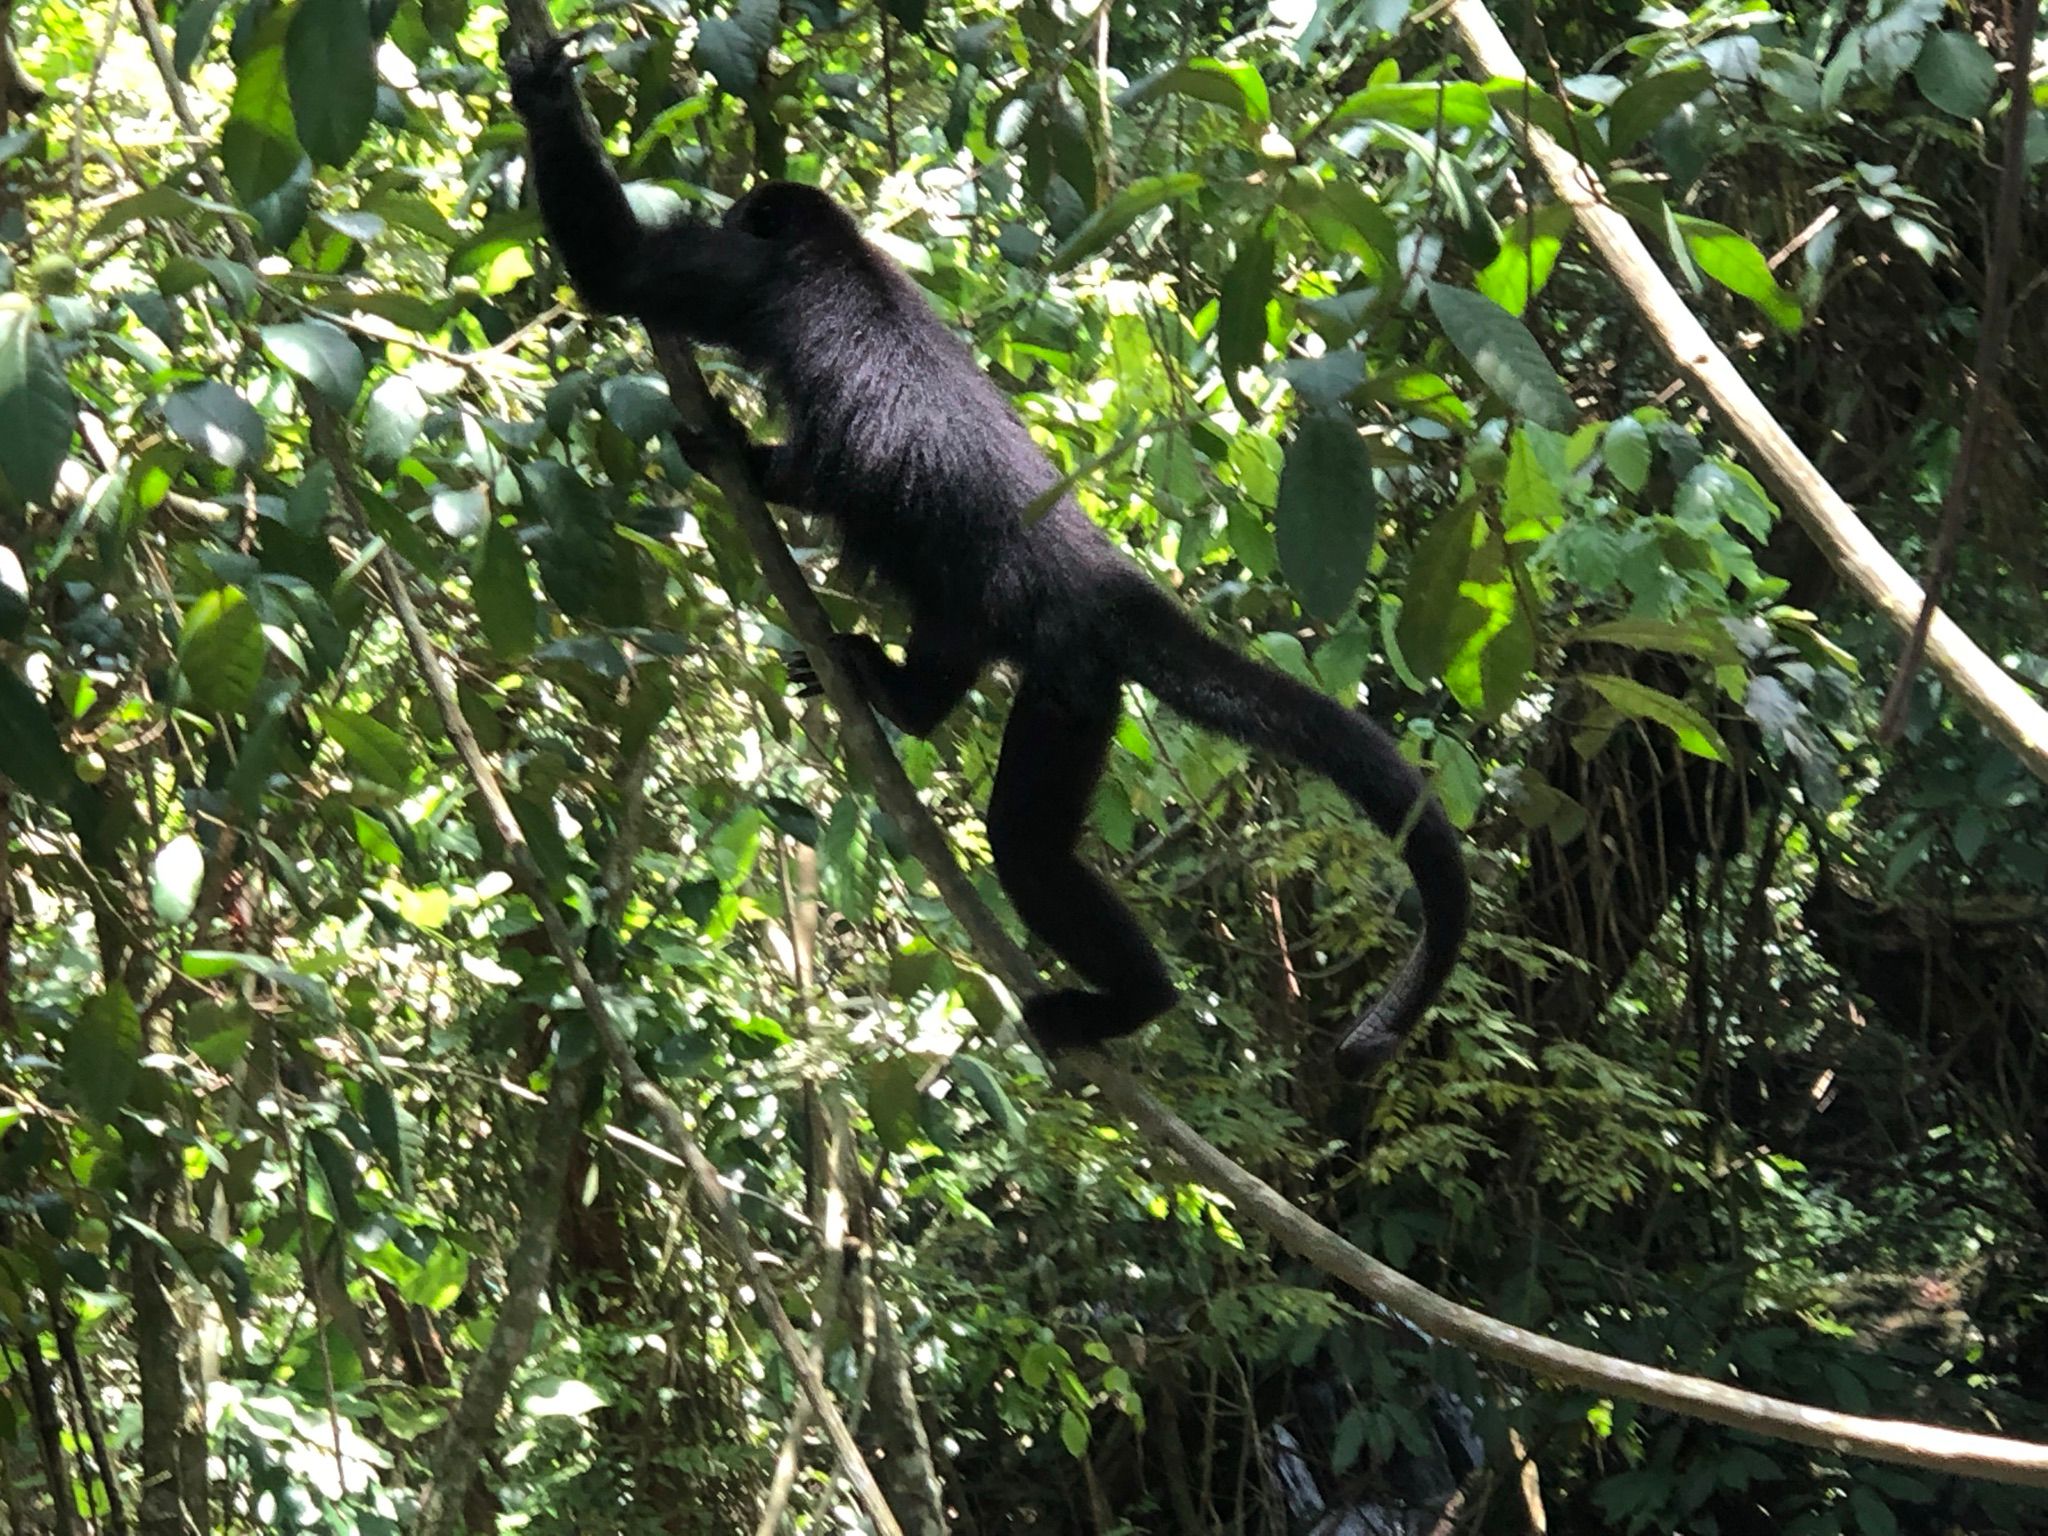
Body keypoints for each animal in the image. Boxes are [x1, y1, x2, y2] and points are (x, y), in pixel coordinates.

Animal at [501, 33, 1469, 1075]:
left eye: (738, 218)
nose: (729, 207)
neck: (835, 252)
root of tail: (1103, 580)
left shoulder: (742, 276)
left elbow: (626, 276)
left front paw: (546, 94)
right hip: (1054, 672)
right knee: (954, 656)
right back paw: (901, 698)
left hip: (1068, 674)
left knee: (1025, 848)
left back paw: (1131, 1001)